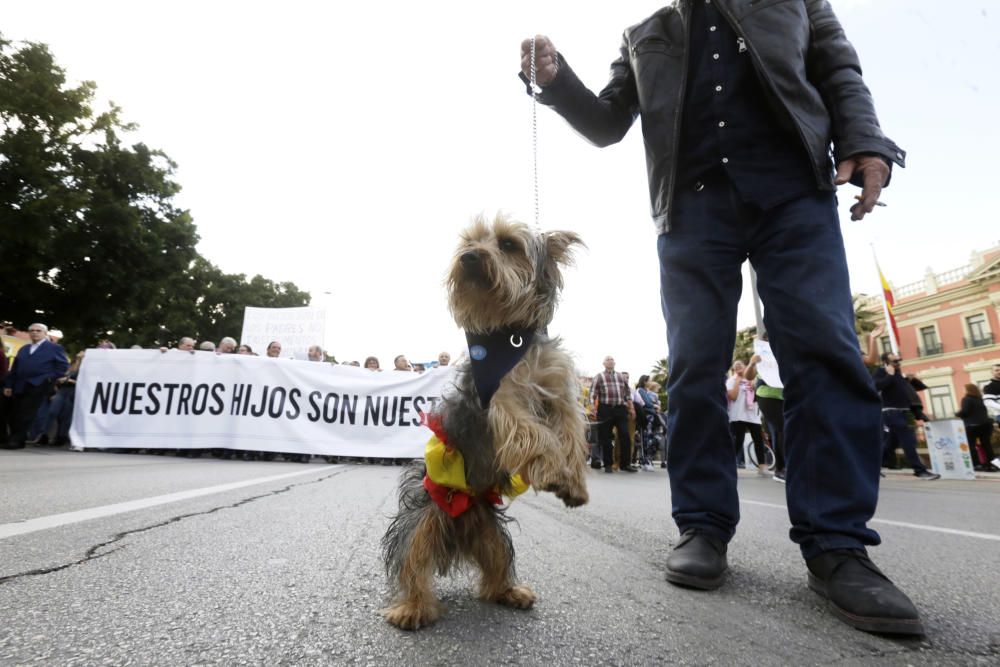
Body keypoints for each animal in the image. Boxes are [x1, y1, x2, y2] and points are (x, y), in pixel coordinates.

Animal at [380, 214, 584, 632]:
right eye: (470, 241)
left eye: (508, 244)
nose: (469, 257)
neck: (512, 336)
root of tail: (460, 531)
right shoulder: (502, 401)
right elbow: (536, 433)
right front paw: (553, 469)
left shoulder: (559, 391)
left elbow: (570, 432)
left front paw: (573, 482)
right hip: (422, 519)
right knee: (411, 563)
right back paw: (412, 609)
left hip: (492, 533)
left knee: (496, 567)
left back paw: (510, 592)